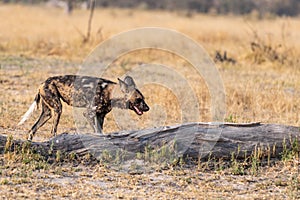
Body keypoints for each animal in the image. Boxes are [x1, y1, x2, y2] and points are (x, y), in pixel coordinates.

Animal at [17, 75, 149, 141]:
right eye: (139, 100)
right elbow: (97, 130)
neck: (110, 93)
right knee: (52, 131)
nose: (148, 108)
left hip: (47, 113)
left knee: (32, 129)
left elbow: (100, 130)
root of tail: (43, 82)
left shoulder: (100, 115)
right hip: (58, 109)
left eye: (143, 98)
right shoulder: (89, 113)